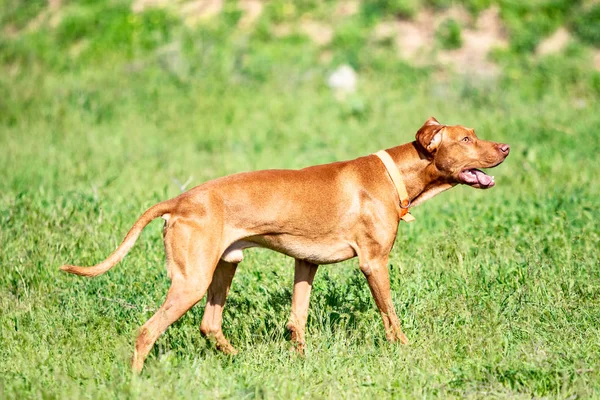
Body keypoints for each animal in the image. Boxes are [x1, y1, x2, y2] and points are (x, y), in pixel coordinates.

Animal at [61, 115, 510, 372]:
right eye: (466, 139)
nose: (506, 147)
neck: (395, 174)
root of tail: (180, 200)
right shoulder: (374, 263)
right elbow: (391, 318)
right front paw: (406, 352)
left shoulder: (306, 263)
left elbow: (297, 319)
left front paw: (301, 363)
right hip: (191, 281)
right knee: (146, 332)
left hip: (224, 267)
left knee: (209, 324)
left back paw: (240, 361)